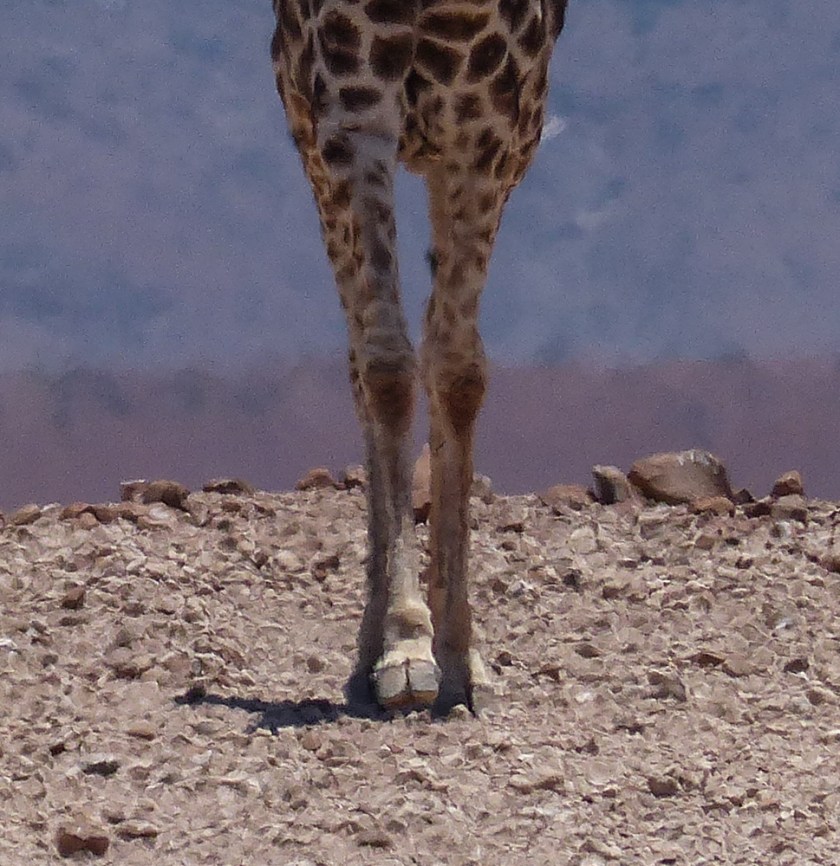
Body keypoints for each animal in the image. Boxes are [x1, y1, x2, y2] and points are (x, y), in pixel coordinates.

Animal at [270, 0, 567, 712]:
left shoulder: (486, 129)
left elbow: (459, 369)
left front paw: (462, 657)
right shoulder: (353, 114)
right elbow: (386, 367)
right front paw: (405, 647)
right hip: (308, 134)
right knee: (361, 363)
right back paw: (365, 659)